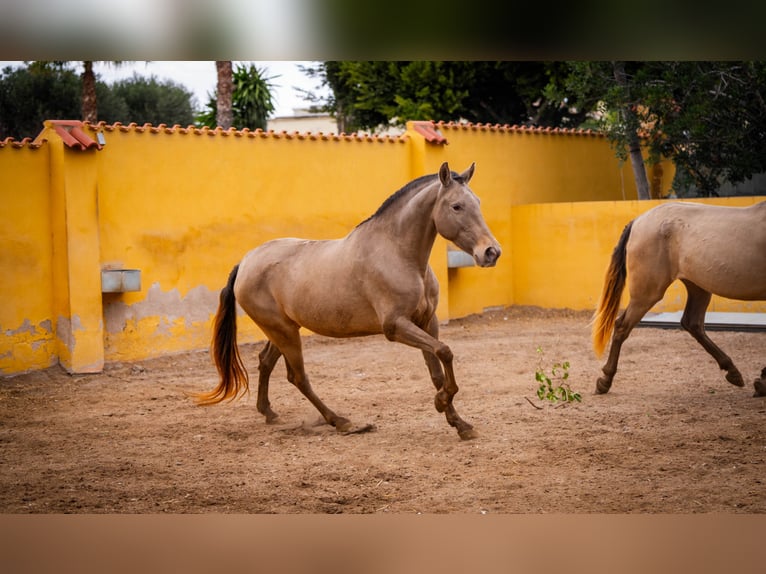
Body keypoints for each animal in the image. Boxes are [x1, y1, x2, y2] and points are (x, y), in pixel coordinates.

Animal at [195, 162, 501, 440]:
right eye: (456, 206)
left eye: (478, 202)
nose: (491, 252)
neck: (398, 254)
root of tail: (246, 261)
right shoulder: (396, 326)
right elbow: (445, 352)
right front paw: (442, 403)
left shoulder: (428, 322)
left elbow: (438, 368)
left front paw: (460, 424)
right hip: (283, 332)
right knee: (298, 377)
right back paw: (342, 422)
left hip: (283, 329)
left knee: (265, 362)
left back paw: (269, 412)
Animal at [592, 200, 766, 396]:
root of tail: (638, 221)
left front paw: (763, 381)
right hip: (648, 293)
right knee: (622, 326)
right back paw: (605, 380)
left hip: (698, 287)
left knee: (693, 323)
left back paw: (733, 372)